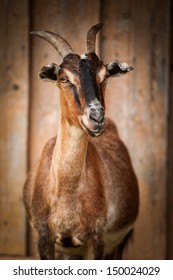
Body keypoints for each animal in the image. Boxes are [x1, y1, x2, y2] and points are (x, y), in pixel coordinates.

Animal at [23, 23, 139, 260]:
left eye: (105, 75)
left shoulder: (96, 239)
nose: (96, 117)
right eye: (64, 78)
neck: (66, 192)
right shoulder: (44, 237)